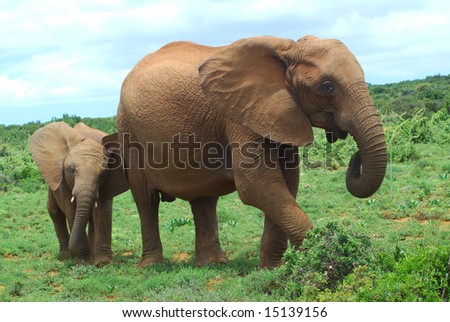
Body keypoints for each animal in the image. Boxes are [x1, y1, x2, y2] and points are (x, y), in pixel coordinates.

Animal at [29, 122, 128, 266]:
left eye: (103, 174)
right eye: (71, 170)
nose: (74, 253)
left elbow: (102, 211)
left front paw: (102, 263)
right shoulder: (63, 179)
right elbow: (71, 210)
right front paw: (83, 261)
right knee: (55, 212)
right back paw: (65, 256)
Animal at [104, 35, 386, 268]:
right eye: (327, 86)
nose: (355, 156)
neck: (288, 49)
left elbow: (285, 183)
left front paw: (272, 268)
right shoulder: (239, 116)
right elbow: (257, 184)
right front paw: (325, 258)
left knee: (204, 199)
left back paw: (212, 264)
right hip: (129, 131)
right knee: (146, 200)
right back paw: (152, 266)